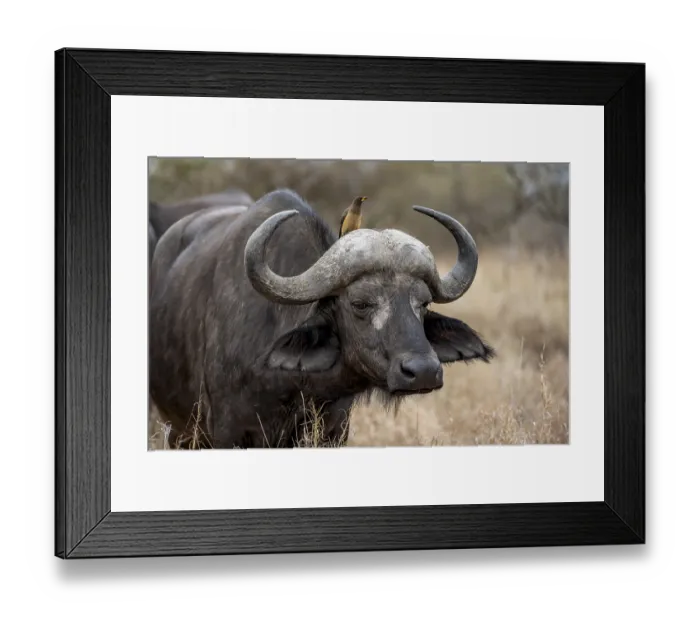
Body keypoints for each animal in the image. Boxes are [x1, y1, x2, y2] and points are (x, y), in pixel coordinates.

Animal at [149, 189, 494, 449]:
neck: (293, 385)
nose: (422, 372)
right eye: (360, 303)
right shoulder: (227, 431)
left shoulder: (333, 430)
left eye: (422, 303)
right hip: (178, 430)